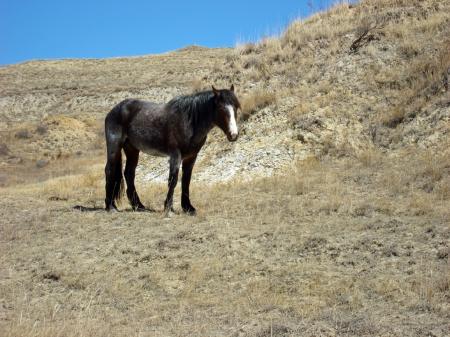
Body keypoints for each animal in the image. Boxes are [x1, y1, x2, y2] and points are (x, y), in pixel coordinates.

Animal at [104, 84, 241, 215]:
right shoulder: (175, 155)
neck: (189, 121)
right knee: (109, 170)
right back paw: (110, 206)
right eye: (222, 108)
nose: (234, 135)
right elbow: (173, 180)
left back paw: (139, 206)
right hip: (114, 147)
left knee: (129, 174)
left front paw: (188, 208)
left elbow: (186, 180)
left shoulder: (191, 156)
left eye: (236, 108)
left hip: (132, 149)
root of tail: (114, 110)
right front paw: (168, 208)